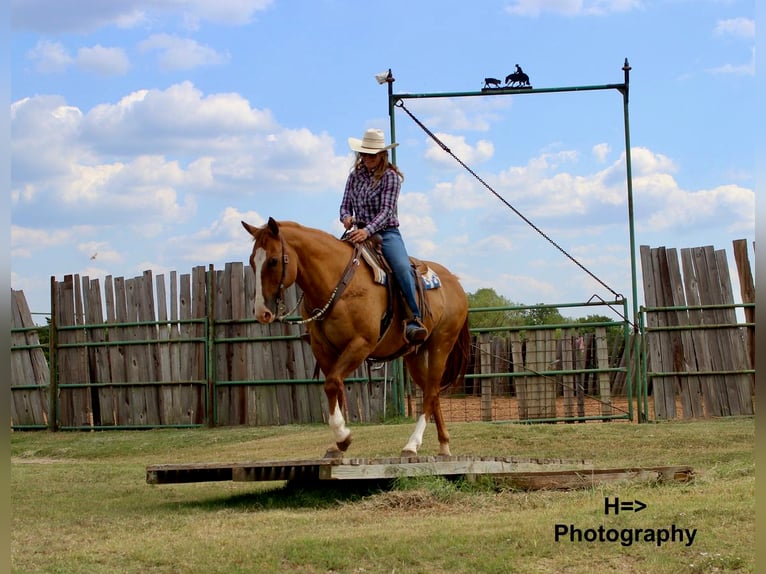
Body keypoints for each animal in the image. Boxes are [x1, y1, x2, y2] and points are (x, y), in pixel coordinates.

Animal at [244, 218, 474, 462]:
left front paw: (343, 436)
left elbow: (332, 383)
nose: (261, 312)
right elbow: (334, 389)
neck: (338, 285)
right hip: (415, 354)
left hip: (441, 345)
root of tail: (455, 281)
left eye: (273, 260)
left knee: (430, 392)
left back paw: (412, 445)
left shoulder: (360, 344)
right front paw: (337, 444)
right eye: (252, 261)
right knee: (434, 392)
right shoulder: (322, 349)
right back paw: (444, 445)